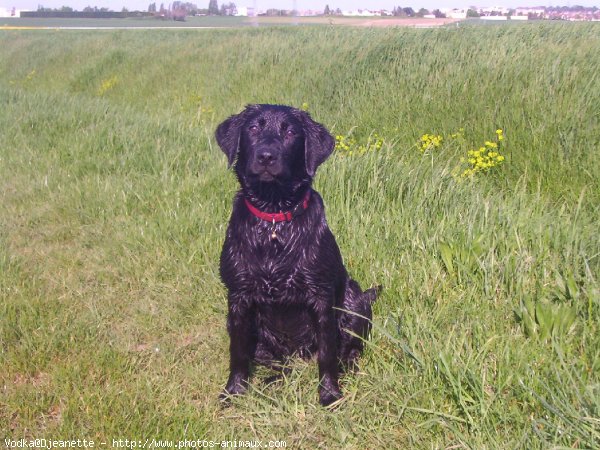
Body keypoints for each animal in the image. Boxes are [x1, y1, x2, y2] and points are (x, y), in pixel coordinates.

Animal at [214, 103, 376, 406]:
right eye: (253, 128)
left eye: (290, 132)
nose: (267, 156)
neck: (274, 220)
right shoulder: (238, 297)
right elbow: (237, 354)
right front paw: (234, 391)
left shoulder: (321, 296)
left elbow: (328, 354)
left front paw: (329, 394)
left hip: (354, 299)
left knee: (348, 348)